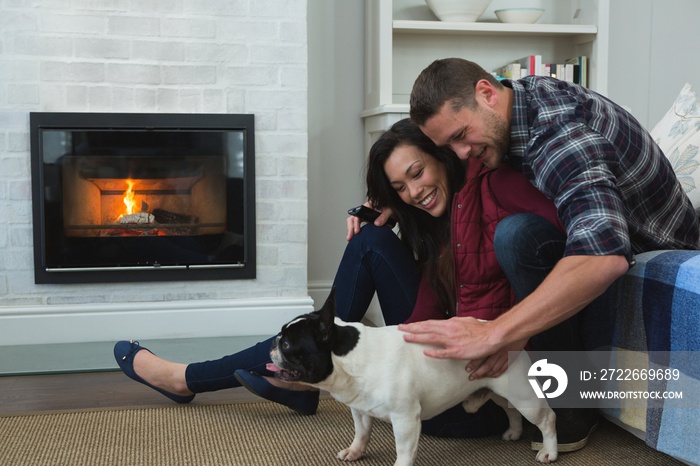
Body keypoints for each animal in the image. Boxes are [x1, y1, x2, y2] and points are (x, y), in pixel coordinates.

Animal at [268, 290, 556, 464]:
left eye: (287, 345)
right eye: (281, 337)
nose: (273, 342)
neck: (348, 357)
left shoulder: (405, 418)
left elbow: (404, 450)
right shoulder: (360, 410)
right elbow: (361, 433)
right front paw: (355, 451)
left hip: (522, 394)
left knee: (546, 418)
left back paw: (549, 451)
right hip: (498, 389)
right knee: (510, 410)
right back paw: (514, 432)